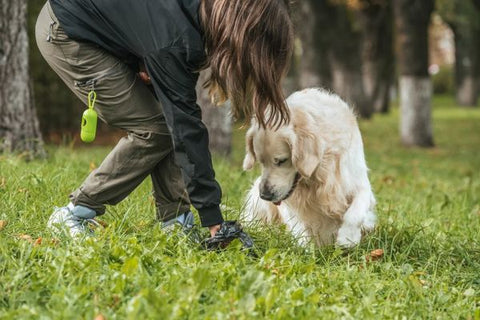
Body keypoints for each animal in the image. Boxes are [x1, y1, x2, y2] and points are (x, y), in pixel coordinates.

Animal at [244, 87, 376, 248]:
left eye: (281, 161)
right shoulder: (289, 202)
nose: (265, 196)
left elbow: (355, 212)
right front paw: (304, 249)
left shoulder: (358, 182)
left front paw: (347, 238)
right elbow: (298, 226)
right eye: (261, 162)